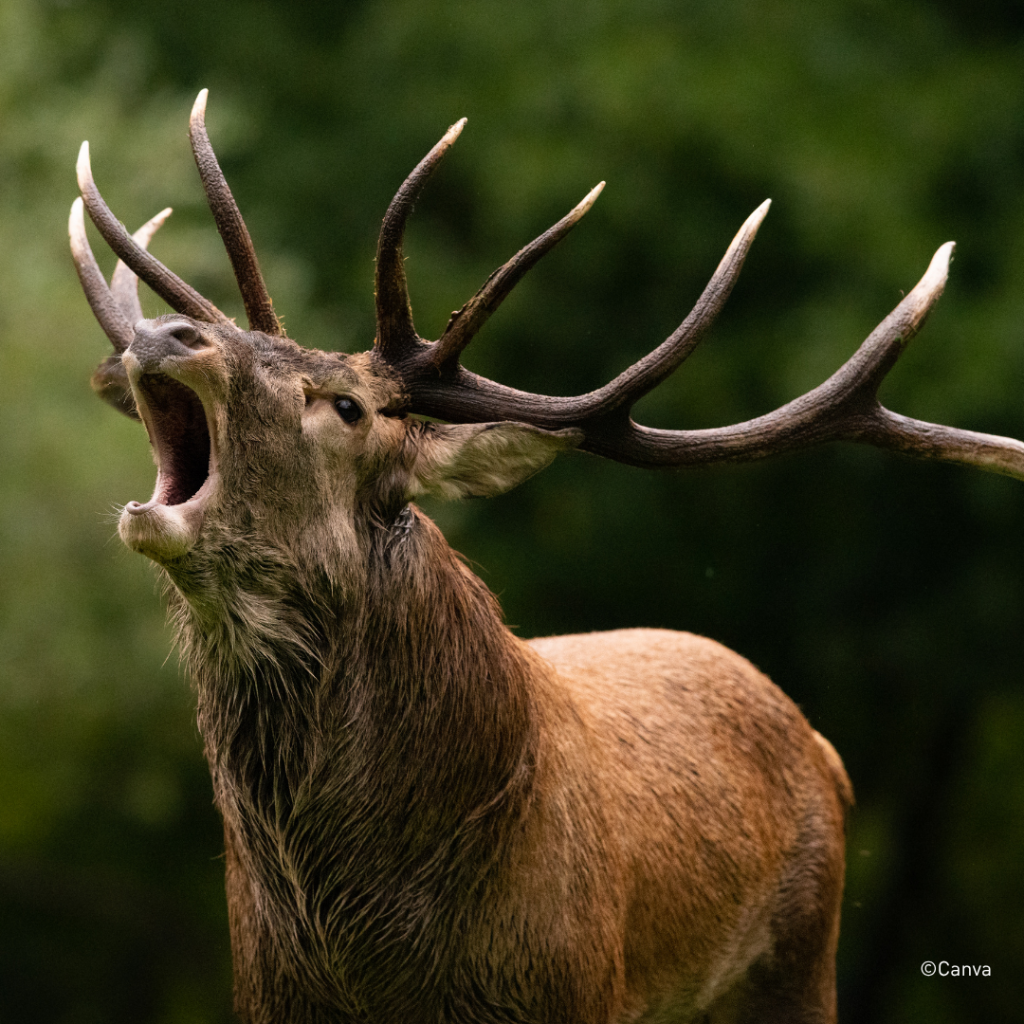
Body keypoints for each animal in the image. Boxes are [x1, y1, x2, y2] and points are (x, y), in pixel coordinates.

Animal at [68, 90, 1024, 1024]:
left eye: (346, 406)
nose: (169, 333)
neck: (370, 954)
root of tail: (825, 751)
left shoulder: (576, 986)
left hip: (799, 960)